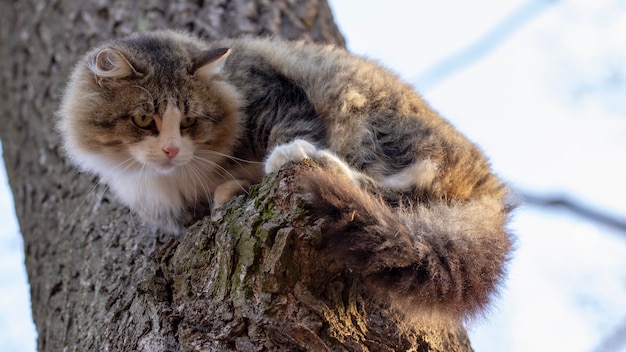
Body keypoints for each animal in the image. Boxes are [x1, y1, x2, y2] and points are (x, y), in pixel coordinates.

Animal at [57, 30, 512, 322]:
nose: (170, 150)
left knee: (399, 191)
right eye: (143, 120)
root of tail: (496, 195)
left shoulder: (274, 97)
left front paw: (263, 166)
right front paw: (226, 192)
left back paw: (308, 158)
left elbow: (286, 129)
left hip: (370, 117)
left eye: (188, 120)